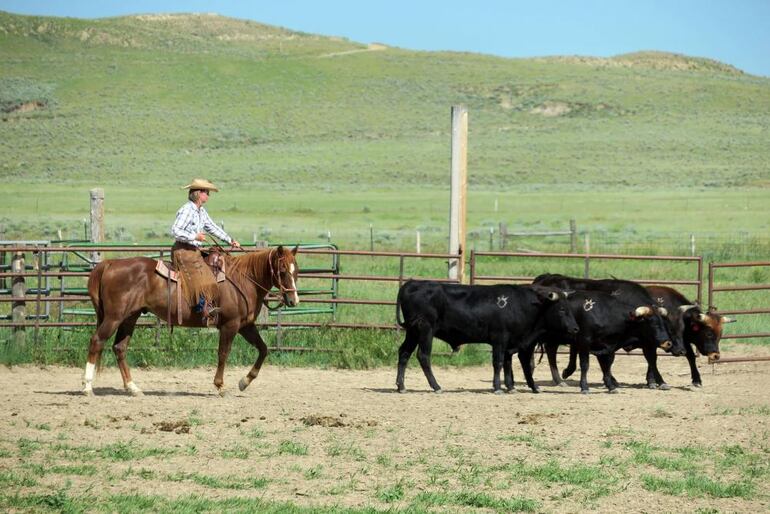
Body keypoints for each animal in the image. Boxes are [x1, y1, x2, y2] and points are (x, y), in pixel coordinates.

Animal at [82, 245, 299, 396]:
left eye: (296, 271)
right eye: (282, 271)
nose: (293, 300)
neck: (243, 280)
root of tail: (110, 264)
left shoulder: (245, 326)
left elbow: (263, 349)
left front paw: (244, 382)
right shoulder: (230, 325)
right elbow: (223, 353)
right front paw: (220, 386)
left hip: (129, 318)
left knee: (119, 348)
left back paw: (133, 387)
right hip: (114, 317)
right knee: (97, 341)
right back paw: (87, 387)